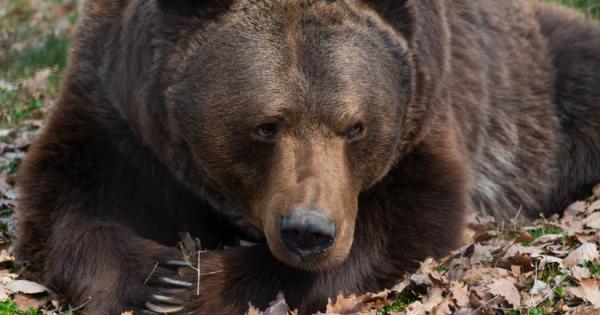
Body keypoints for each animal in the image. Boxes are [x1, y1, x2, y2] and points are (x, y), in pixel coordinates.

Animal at [14, 0, 600, 314]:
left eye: (356, 126)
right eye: (265, 126)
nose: (307, 231)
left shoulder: (427, 112)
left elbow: (407, 220)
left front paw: (195, 284)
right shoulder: (118, 110)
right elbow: (69, 203)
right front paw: (157, 277)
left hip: (539, 87)